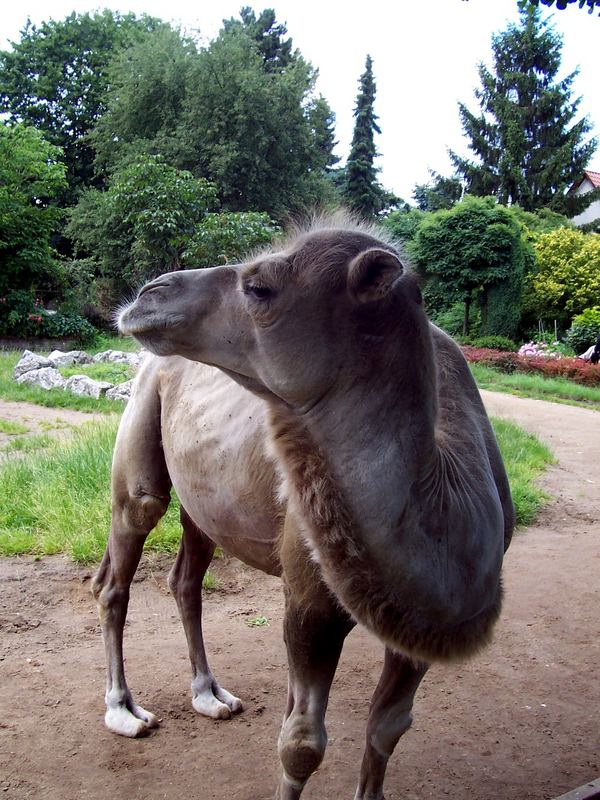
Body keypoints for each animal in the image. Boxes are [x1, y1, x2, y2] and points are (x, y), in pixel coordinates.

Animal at [94, 216, 516, 796]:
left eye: (260, 286)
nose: (148, 294)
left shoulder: (421, 627)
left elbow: (388, 727)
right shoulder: (310, 600)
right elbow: (300, 745)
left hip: (205, 497)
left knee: (186, 579)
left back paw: (209, 694)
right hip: (141, 424)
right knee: (124, 554)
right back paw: (123, 710)